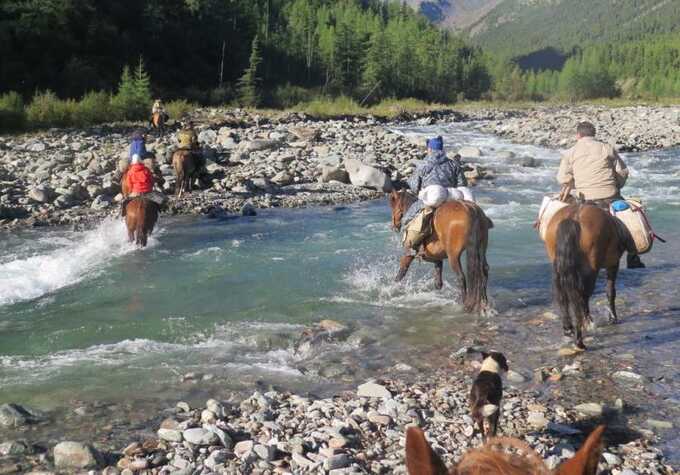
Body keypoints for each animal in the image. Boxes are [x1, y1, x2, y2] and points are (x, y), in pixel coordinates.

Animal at [544, 205, 624, 350]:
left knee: (563, 296)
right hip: (591, 269)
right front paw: (613, 318)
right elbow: (610, 291)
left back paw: (568, 329)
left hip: (557, 267)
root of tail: (574, 217)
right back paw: (580, 339)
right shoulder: (613, 264)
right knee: (582, 296)